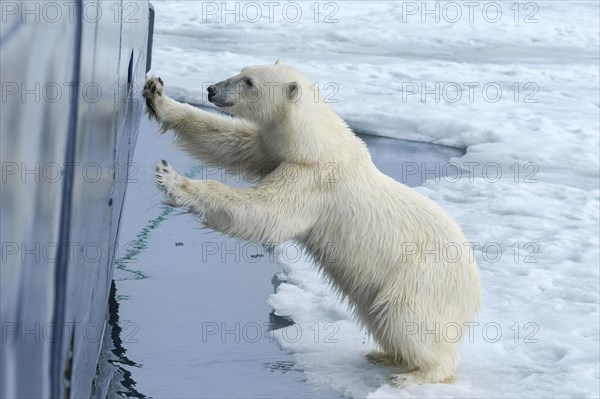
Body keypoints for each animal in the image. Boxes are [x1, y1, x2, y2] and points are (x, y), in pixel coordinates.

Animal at [141, 60, 478, 388]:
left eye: (249, 82)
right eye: (241, 71)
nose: (211, 89)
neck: (318, 144)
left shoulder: (315, 179)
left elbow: (267, 212)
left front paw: (173, 180)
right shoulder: (276, 152)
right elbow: (230, 141)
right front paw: (157, 95)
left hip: (421, 280)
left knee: (406, 320)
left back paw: (415, 374)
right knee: (380, 318)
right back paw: (383, 355)